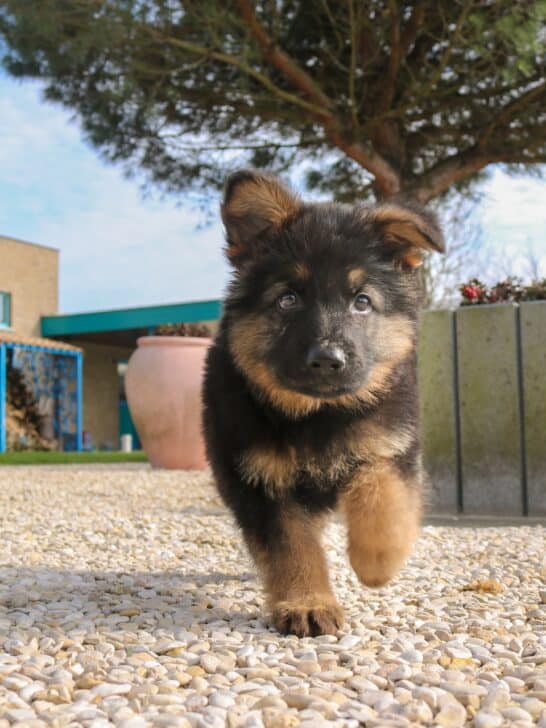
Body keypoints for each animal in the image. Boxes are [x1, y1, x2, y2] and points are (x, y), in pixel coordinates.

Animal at [202, 168, 440, 636]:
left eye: (362, 301)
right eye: (288, 299)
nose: (328, 360)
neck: (318, 417)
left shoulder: (391, 447)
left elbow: (381, 494)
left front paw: (376, 562)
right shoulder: (260, 481)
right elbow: (292, 546)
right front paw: (307, 603)